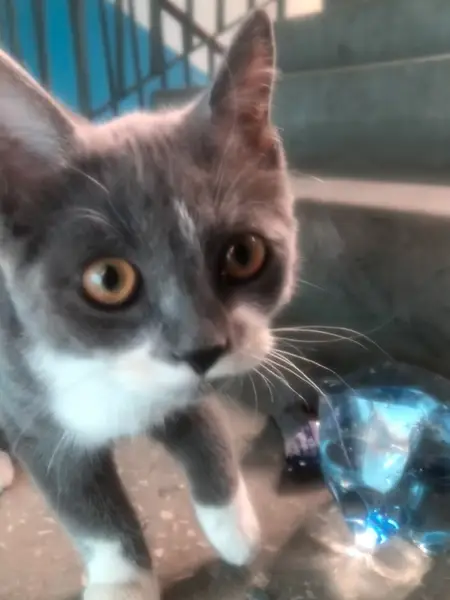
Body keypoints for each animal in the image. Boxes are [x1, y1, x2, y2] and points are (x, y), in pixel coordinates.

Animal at [0, 10, 297, 600]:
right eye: (107, 279)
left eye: (244, 253)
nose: (202, 348)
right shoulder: (31, 412)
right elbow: (87, 507)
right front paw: (122, 580)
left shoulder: (185, 390)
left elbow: (206, 434)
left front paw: (235, 530)